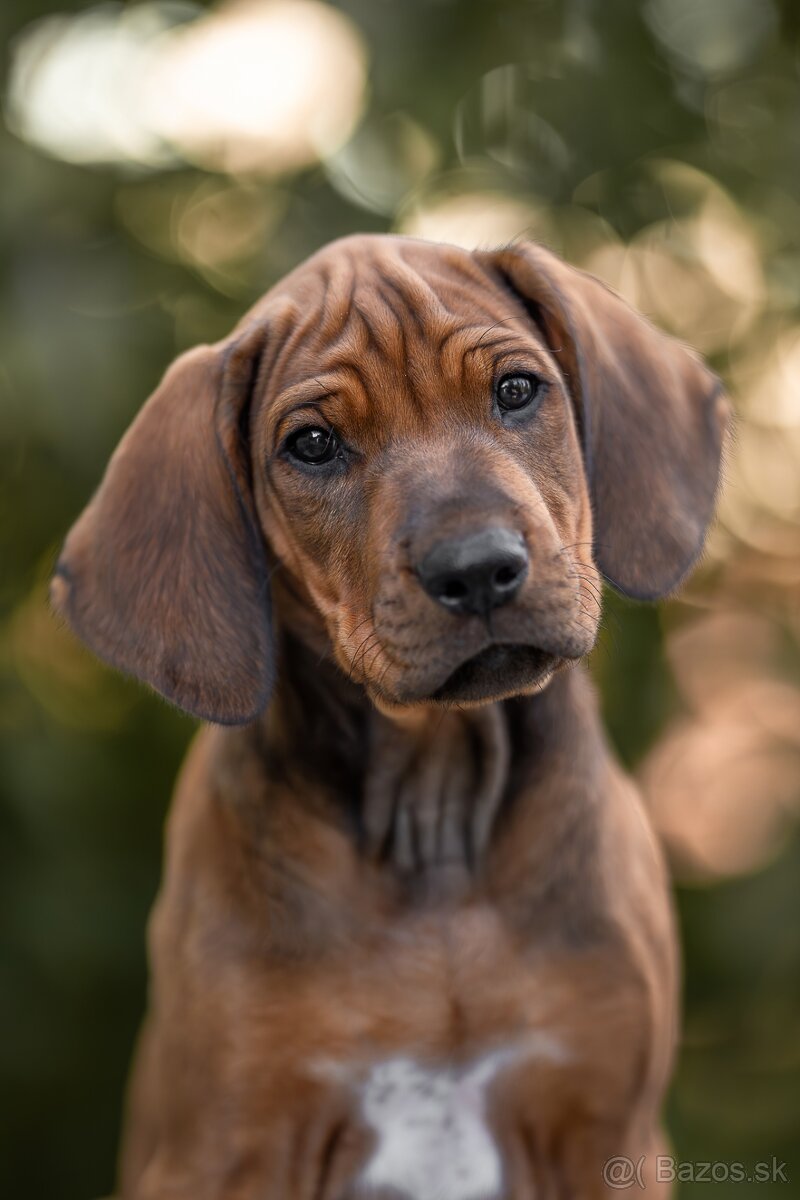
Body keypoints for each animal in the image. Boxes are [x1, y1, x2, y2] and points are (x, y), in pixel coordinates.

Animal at [53, 236, 734, 1200]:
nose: (478, 568)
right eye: (311, 444)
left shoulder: (607, 1135)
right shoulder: (230, 1146)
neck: (432, 803)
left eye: (517, 390)